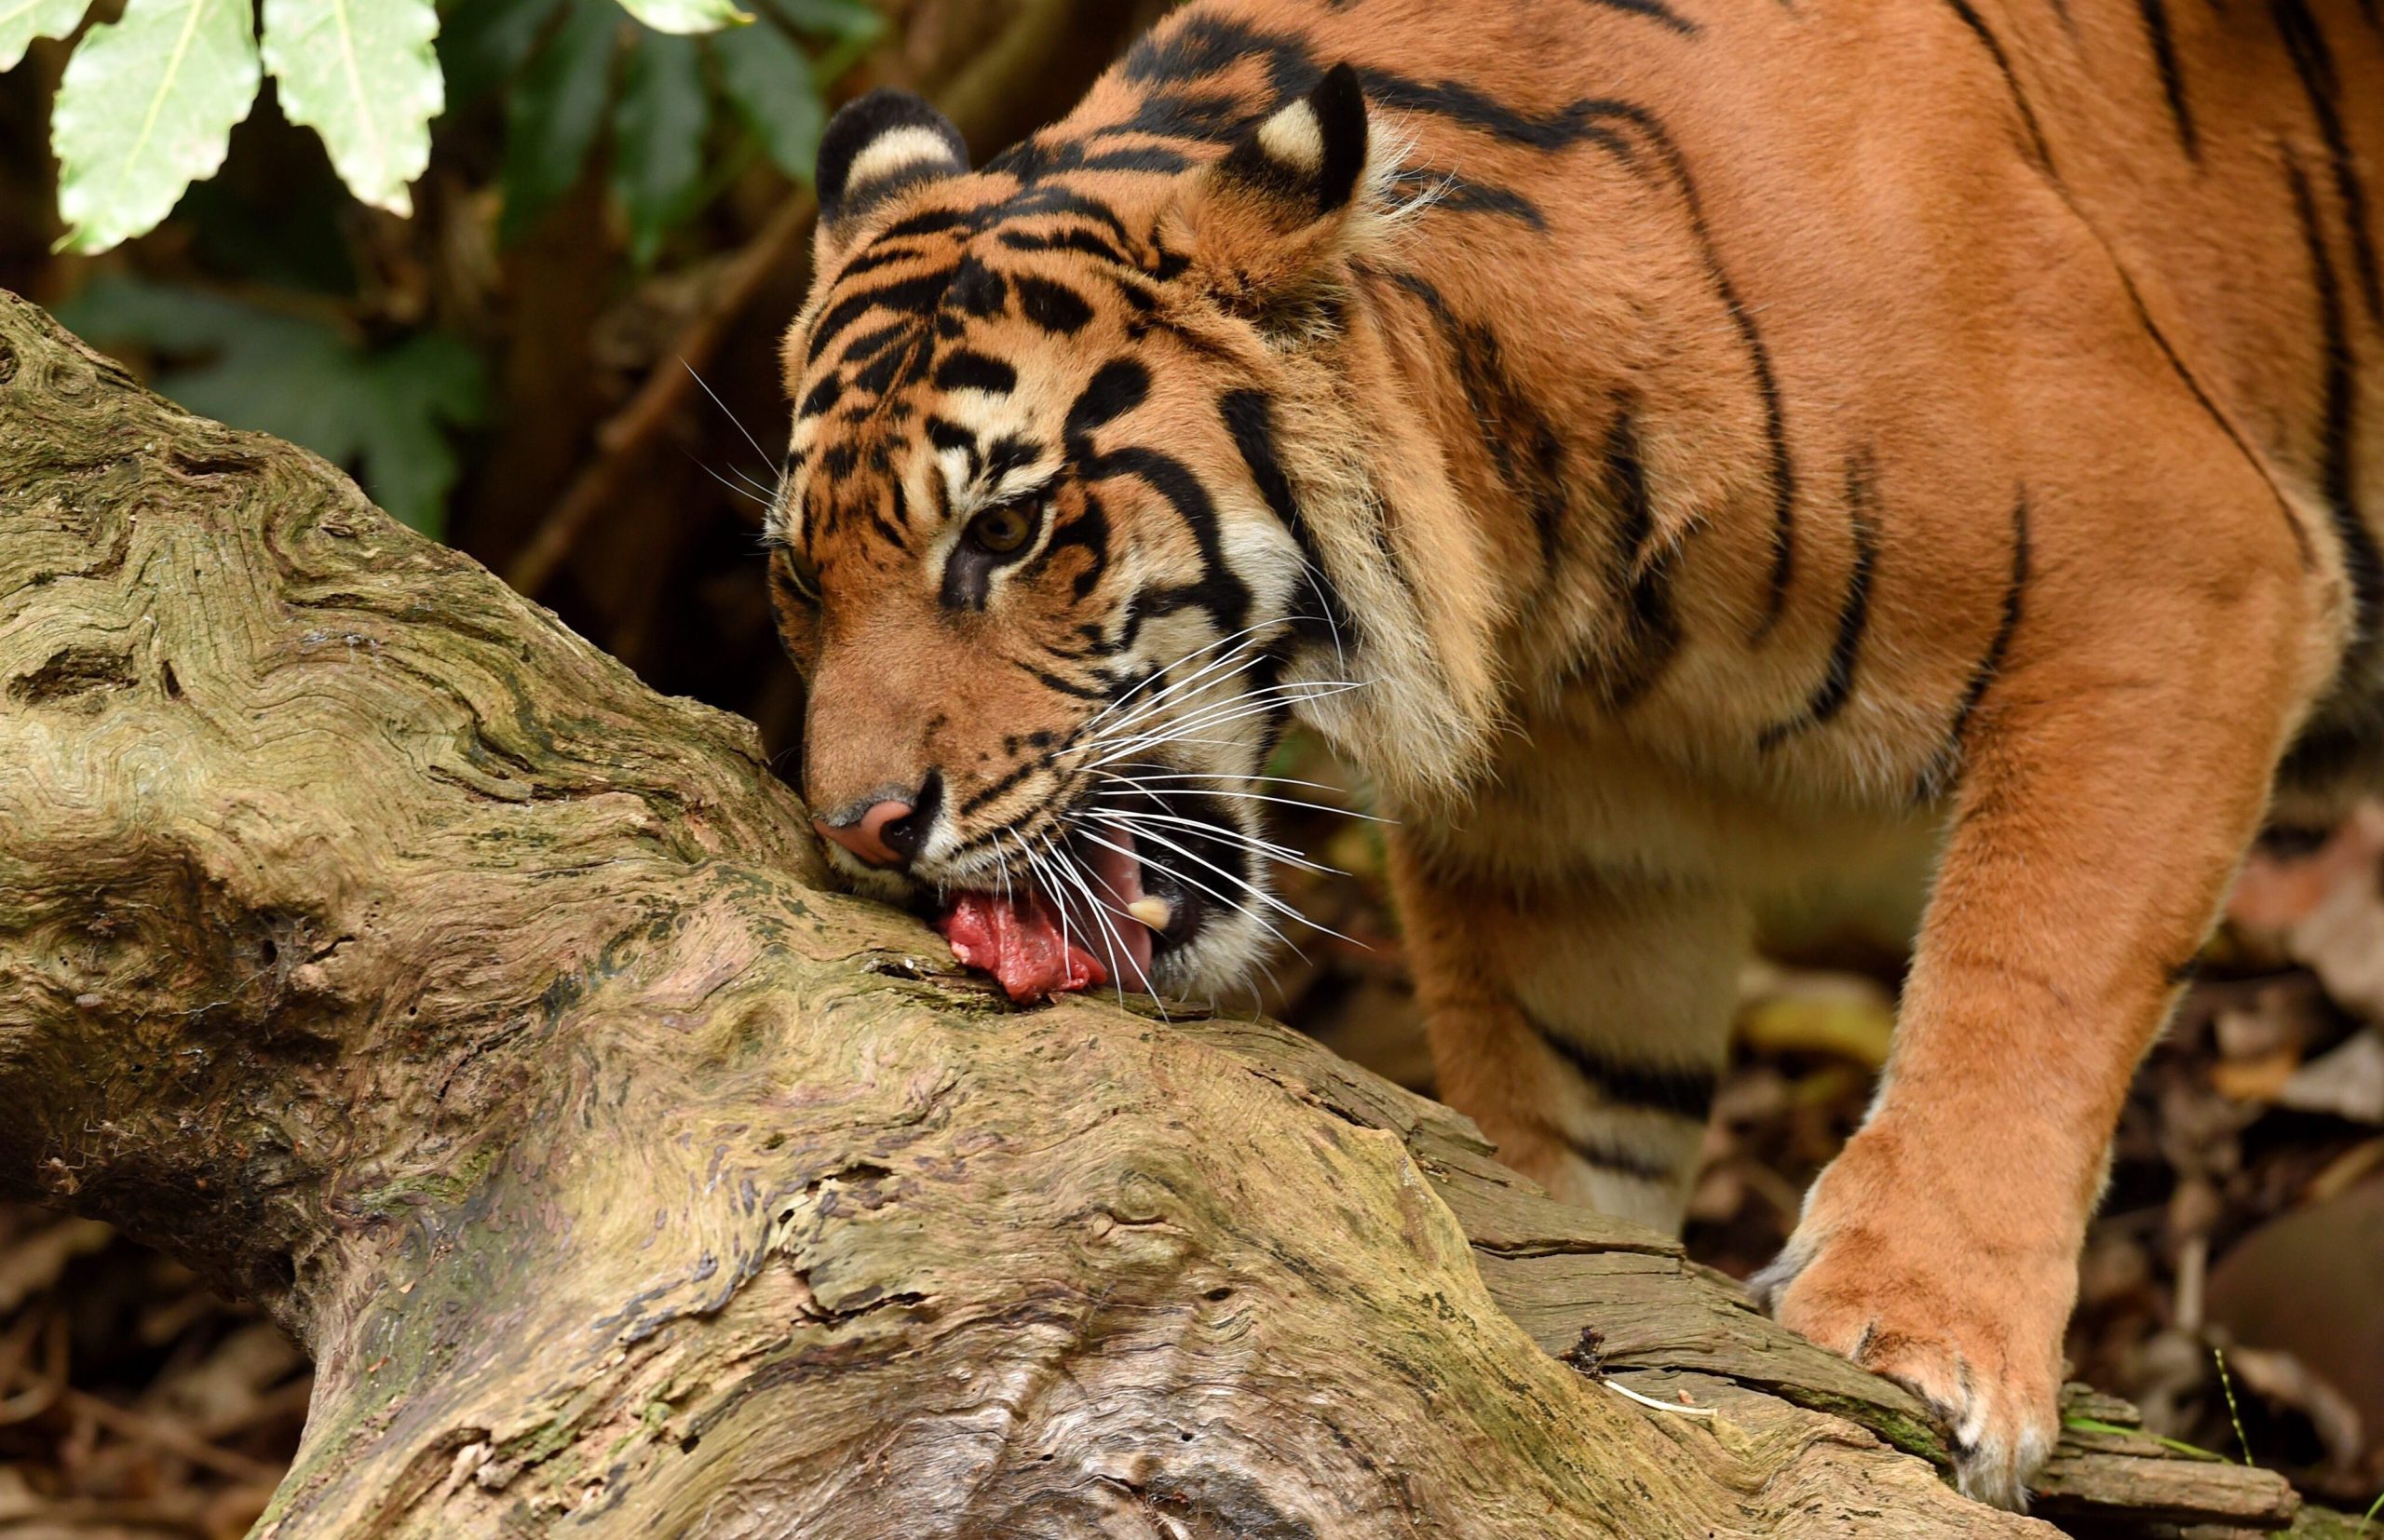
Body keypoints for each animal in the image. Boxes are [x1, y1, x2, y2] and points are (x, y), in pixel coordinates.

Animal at [762, 0, 2384, 1510]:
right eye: (796, 578)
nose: (860, 826)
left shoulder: (2174, 585)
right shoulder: (1583, 856)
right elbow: (1575, 1140)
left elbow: (2020, 979)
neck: (1550, 550)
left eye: (1006, 527)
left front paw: (1918, 1335)